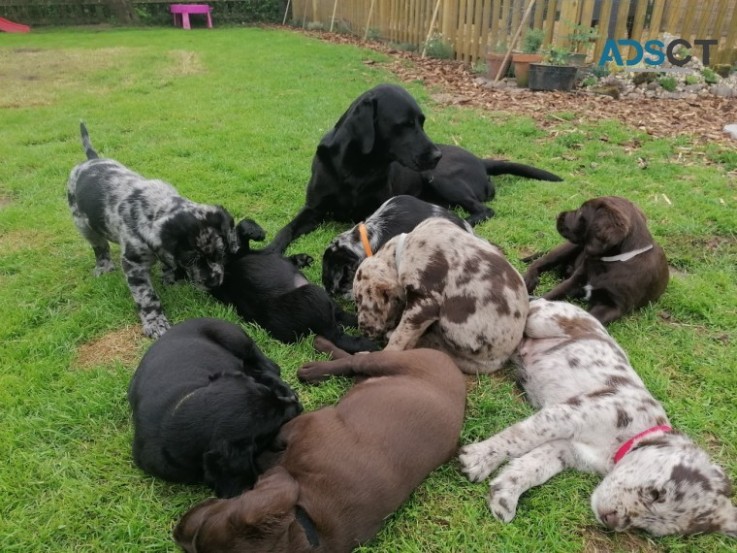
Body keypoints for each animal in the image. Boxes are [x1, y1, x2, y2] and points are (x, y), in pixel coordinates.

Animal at [208, 218, 376, 352]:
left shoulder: (267, 251)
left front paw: (300, 259)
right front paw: (255, 231)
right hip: (313, 295)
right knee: (336, 336)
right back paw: (366, 343)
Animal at [352, 216, 528, 370]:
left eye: (359, 300)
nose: (362, 329)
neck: (400, 253)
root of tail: (502, 359)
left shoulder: (424, 303)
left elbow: (400, 336)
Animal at [460, 300, 736, 536]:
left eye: (649, 529)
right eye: (657, 494)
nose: (611, 522)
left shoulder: (567, 449)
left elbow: (533, 466)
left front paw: (505, 494)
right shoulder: (568, 415)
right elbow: (518, 438)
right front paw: (479, 459)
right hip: (541, 318)